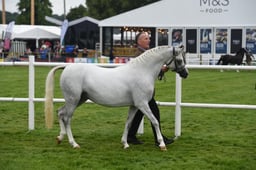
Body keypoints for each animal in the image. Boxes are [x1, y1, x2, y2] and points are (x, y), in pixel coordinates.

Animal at [44, 45, 188, 150]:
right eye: (179, 60)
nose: (185, 74)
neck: (142, 71)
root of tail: (67, 67)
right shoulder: (142, 104)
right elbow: (155, 121)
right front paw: (162, 144)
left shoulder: (134, 105)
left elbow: (128, 123)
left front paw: (125, 143)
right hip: (73, 100)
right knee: (67, 118)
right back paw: (74, 144)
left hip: (79, 99)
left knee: (60, 113)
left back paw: (60, 138)